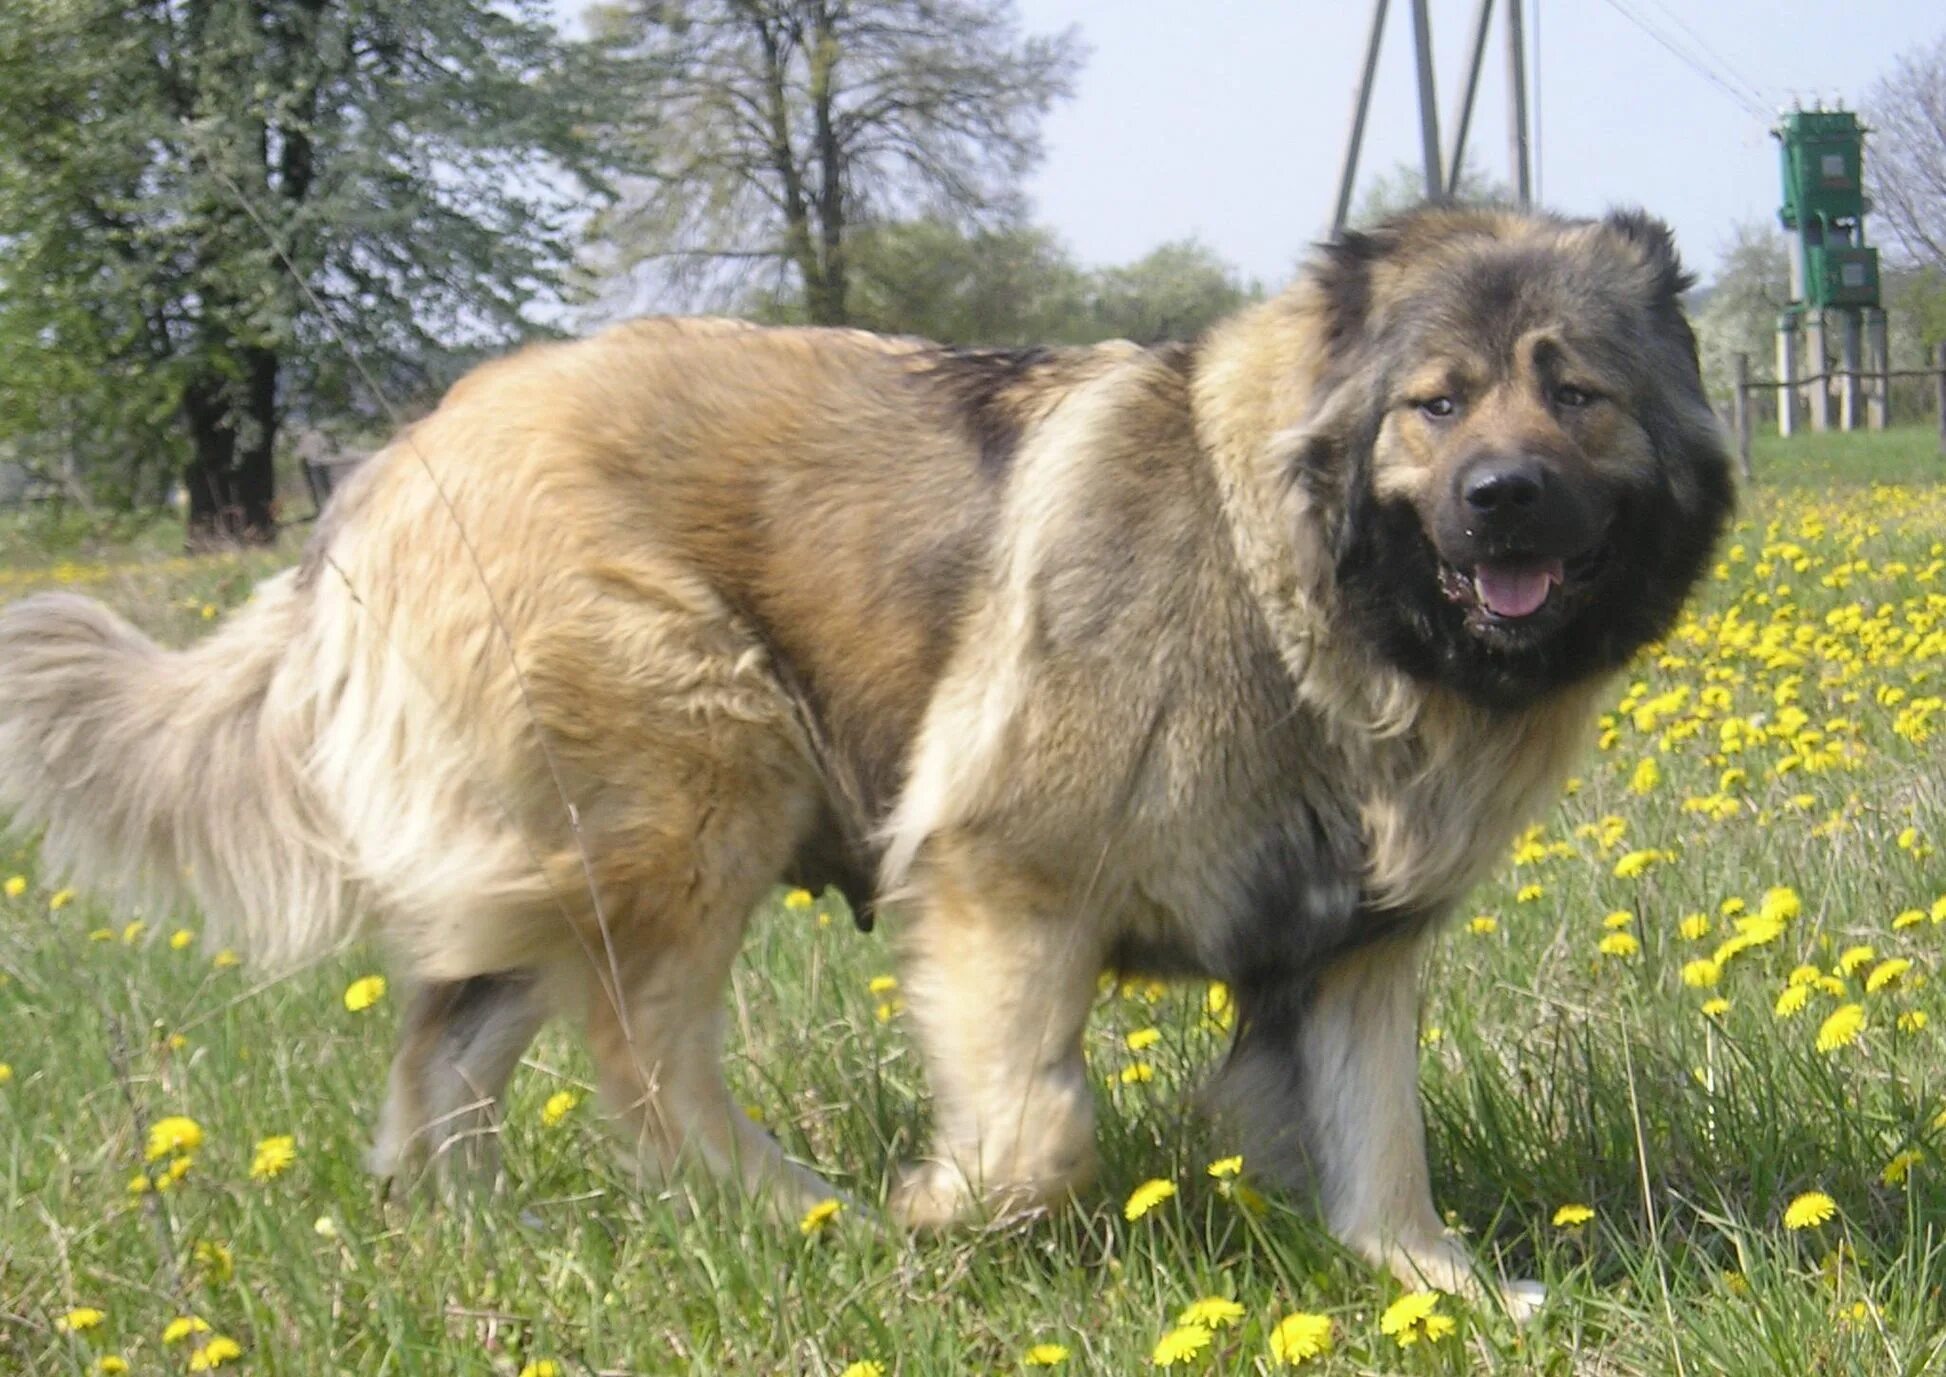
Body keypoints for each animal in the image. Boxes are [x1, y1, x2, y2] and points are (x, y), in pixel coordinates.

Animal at [0, 204, 1735, 1299]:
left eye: (1574, 392)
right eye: (1434, 405)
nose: (1502, 497)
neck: (1293, 583)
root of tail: (384, 466)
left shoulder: (1355, 943)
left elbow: (1377, 1141)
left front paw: (1440, 1287)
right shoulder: (1001, 880)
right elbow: (1036, 1127)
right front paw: (941, 1212)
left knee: (449, 1045)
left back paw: (469, 1232)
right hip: (707, 762)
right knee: (643, 1058)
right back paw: (794, 1210)